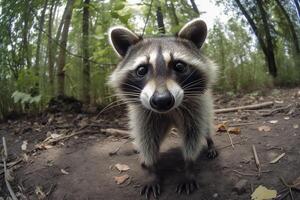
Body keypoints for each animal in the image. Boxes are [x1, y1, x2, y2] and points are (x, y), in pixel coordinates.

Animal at [108, 18, 218, 198]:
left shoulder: (195, 107)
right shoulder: (144, 114)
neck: (169, 111)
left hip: (205, 105)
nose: (161, 101)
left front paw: (189, 166)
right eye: (141, 70)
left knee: (206, 126)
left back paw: (210, 142)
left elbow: (193, 135)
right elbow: (147, 138)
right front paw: (152, 170)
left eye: (179, 66)